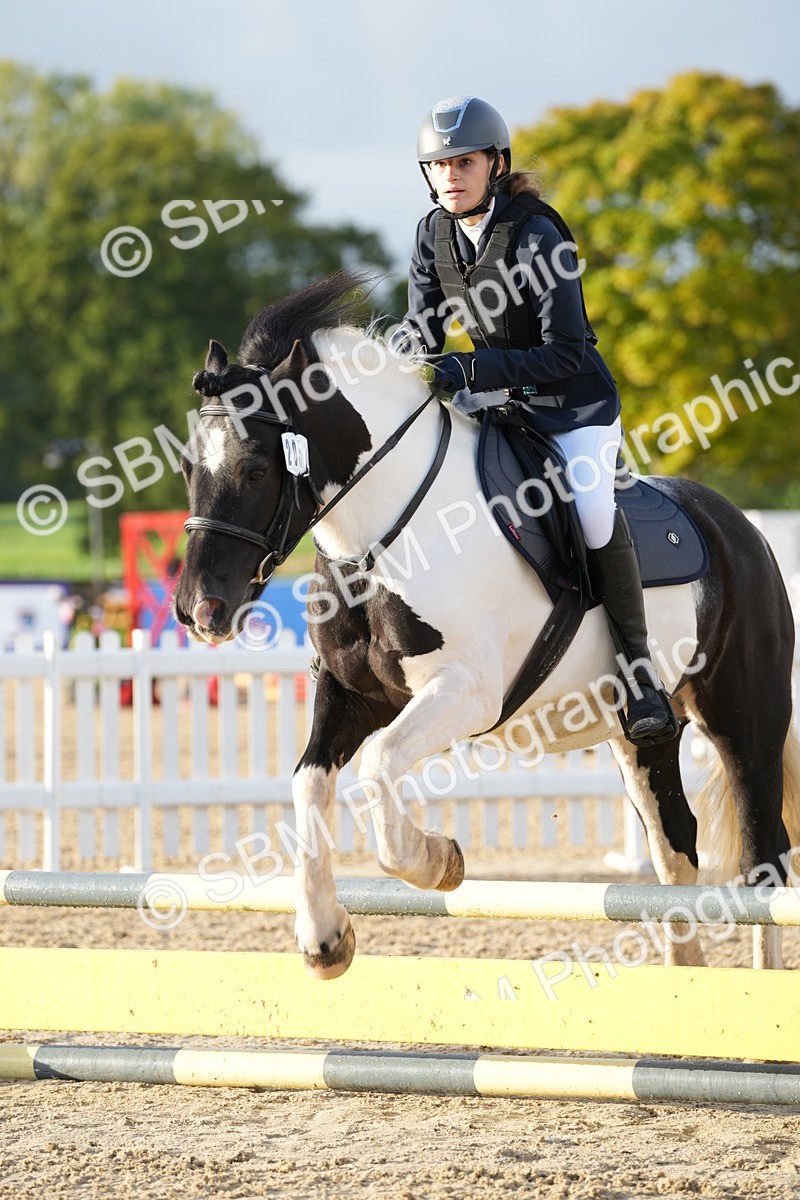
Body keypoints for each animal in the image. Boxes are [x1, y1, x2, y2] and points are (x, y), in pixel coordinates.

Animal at [174, 271, 800, 980]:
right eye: (189, 467)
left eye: (256, 469)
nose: (199, 610)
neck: (383, 536)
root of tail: (739, 527)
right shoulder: (351, 693)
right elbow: (309, 784)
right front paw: (325, 940)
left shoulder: (464, 693)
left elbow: (380, 764)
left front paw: (438, 860)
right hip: (642, 735)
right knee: (676, 851)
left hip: (744, 716)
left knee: (762, 857)